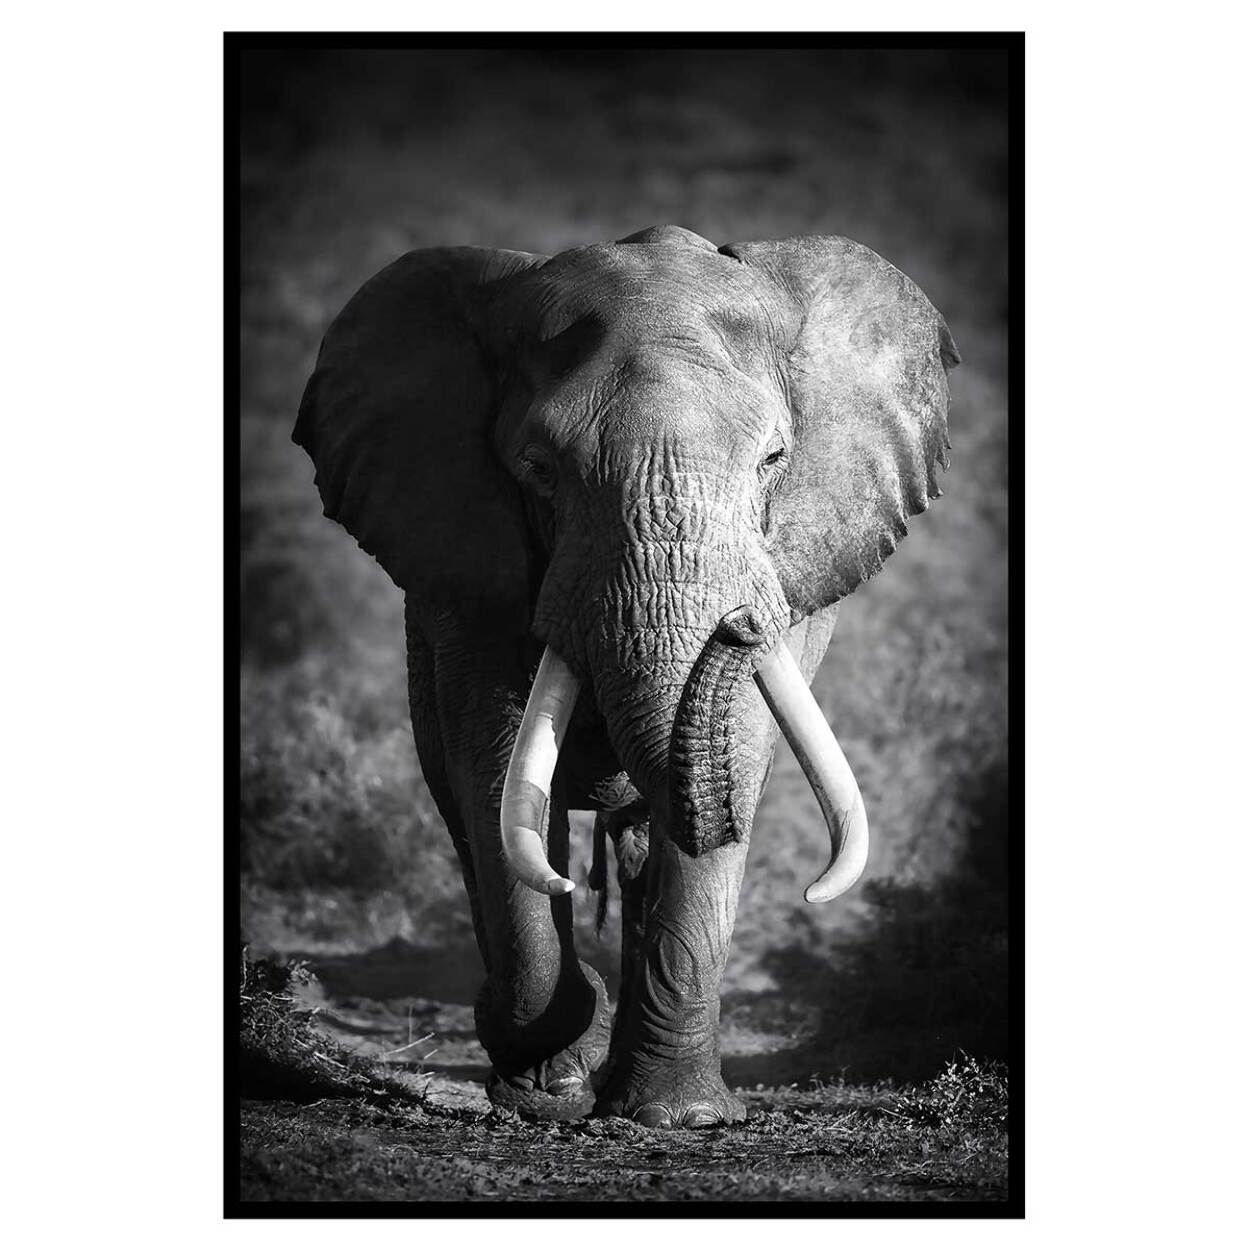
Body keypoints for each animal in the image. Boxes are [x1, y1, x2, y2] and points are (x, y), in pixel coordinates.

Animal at [293, 224, 958, 1128]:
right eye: (539, 468)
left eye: (774, 459)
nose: (740, 624)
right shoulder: (463, 567)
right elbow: (494, 766)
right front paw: (548, 1087)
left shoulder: (799, 562)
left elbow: (738, 752)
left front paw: (678, 1118)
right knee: (467, 811)